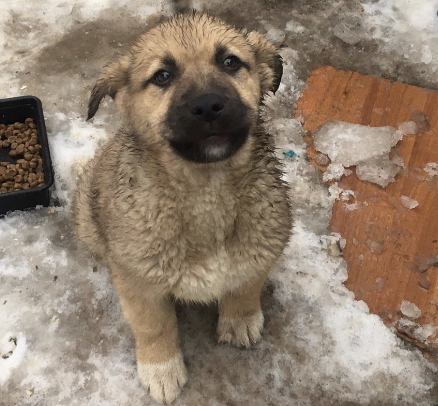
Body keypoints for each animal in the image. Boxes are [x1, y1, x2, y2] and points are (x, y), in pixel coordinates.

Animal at [71, 11, 290, 402]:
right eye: (163, 76)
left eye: (230, 62)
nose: (208, 107)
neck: (206, 189)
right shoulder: (140, 283)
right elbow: (155, 326)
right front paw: (161, 369)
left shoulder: (264, 241)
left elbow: (246, 285)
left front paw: (241, 318)